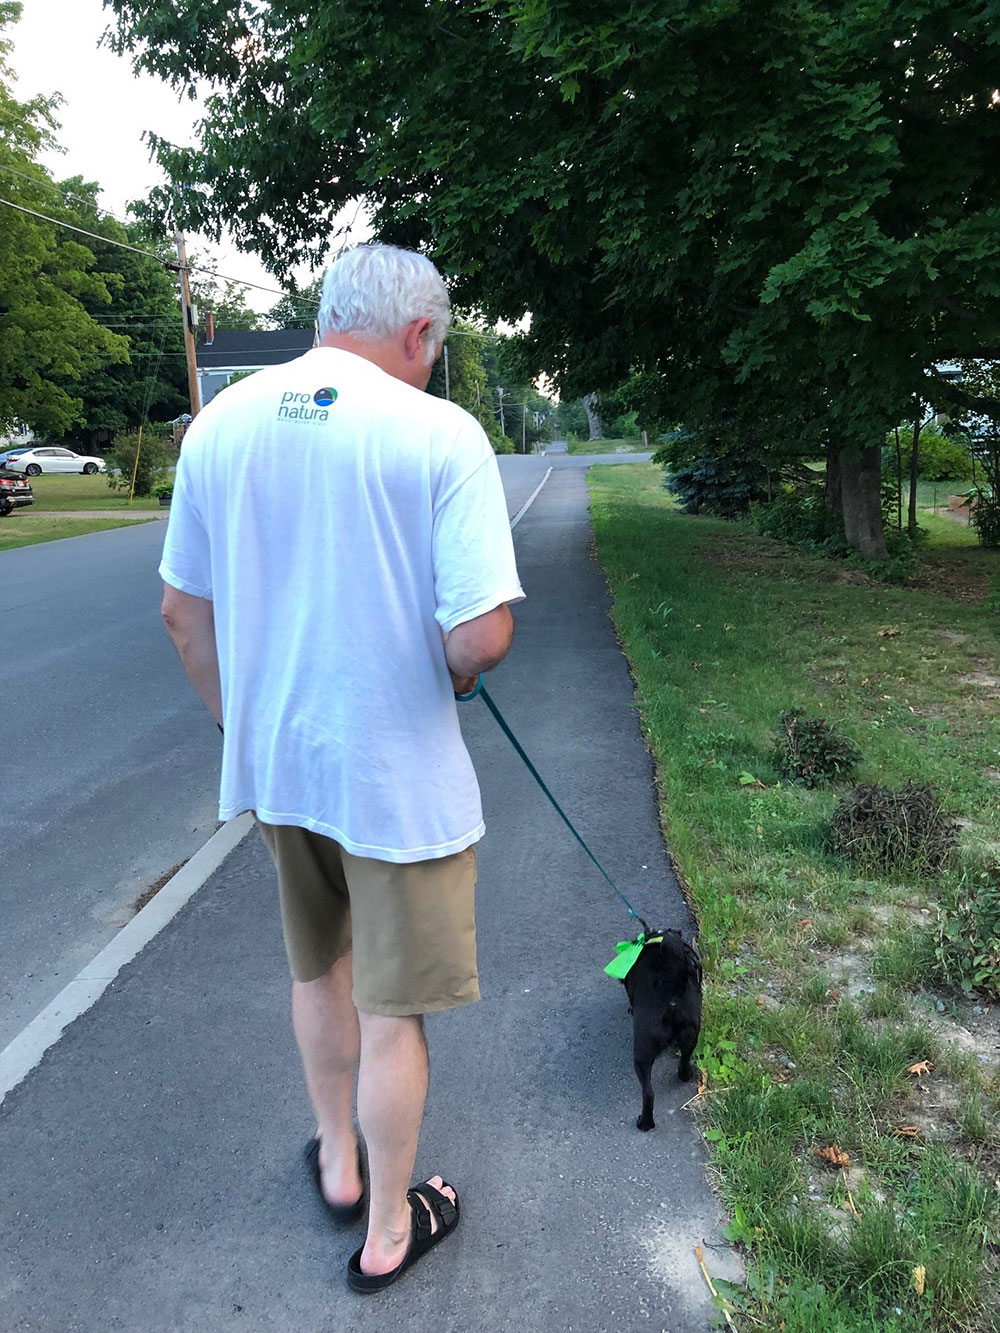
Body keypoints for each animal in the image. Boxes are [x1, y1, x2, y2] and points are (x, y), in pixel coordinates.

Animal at [624, 933, 698, 1130]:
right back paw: (686, 1075)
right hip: (691, 1036)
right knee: (685, 1061)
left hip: (641, 1054)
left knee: (648, 1093)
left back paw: (644, 1123)